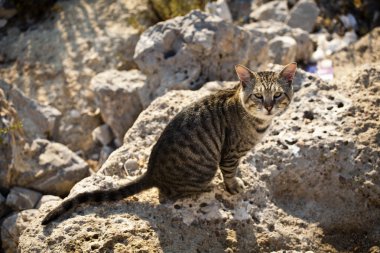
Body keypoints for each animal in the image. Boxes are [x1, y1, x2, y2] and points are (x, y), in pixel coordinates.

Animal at [42, 62, 296, 224]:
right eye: (258, 96)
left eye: (277, 95)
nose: (269, 106)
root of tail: (152, 171)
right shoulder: (229, 154)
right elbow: (230, 173)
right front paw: (233, 185)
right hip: (204, 168)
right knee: (171, 193)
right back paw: (207, 188)